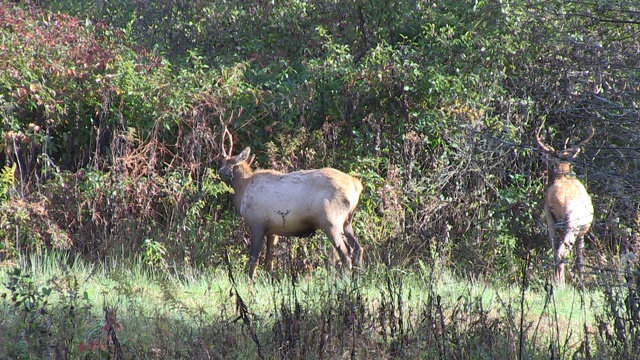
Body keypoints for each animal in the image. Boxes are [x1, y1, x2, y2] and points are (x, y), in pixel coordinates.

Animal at [218, 112, 362, 282]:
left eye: (223, 163)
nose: (219, 172)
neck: (243, 190)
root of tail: (357, 186)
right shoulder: (273, 230)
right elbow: (269, 261)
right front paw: (270, 281)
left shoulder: (256, 222)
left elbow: (254, 258)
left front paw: (250, 282)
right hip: (347, 221)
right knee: (358, 249)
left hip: (331, 220)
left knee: (345, 254)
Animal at [536, 124, 596, 286]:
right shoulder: (582, 231)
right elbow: (580, 259)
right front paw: (581, 282)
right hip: (572, 225)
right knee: (561, 252)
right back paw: (560, 283)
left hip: (550, 220)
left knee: (554, 250)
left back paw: (556, 280)